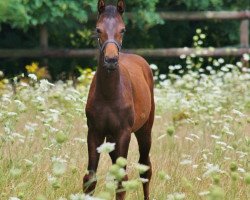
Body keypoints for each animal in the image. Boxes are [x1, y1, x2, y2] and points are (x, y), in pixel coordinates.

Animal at [83, 0, 154, 199]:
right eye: (98, 29)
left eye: (123, 29)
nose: (111, 60)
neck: (109, 94)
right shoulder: (94, 132)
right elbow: (90, 178)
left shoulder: (124, 133)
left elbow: (122, 181)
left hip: (145, 130)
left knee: (146, 168)